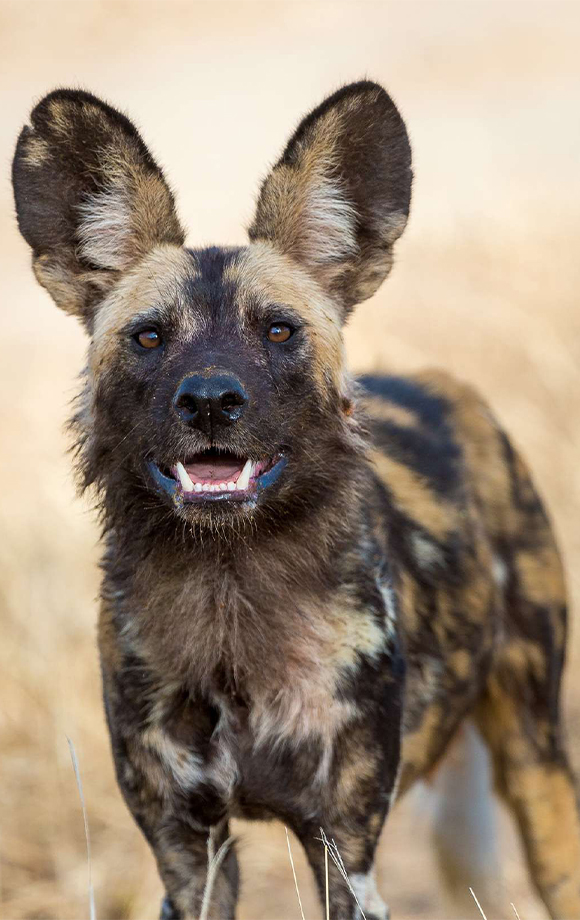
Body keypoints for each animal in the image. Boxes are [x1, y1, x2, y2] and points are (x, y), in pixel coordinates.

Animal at [12, 82, 580, 916]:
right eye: (150, 338)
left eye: (278, 331)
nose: (210, 401)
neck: (229, 599)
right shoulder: (187, 855)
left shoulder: (345, 849)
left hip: (537, 768)